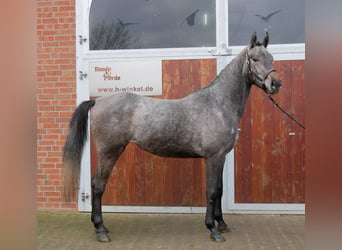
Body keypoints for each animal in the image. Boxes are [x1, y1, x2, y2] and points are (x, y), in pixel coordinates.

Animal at [63, 31, 280, 242]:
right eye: (254, 59)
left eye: (271, 58)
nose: (276, 83)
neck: (218, 104)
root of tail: (97, 102)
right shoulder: (213, 157)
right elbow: (211, 191)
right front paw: (213, 229)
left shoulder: (221, 157)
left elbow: (219, 189)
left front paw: (222, 224)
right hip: (109, 153)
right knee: (98, 185)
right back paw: (100, 230)